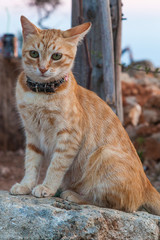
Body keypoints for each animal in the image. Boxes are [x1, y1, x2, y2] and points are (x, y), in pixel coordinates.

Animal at [10, 16, 160, 216]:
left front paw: (47, 187)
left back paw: (72, 195)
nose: (42, 69)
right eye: (34, 54)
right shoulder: (32, 134)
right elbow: (31, 163)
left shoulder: (69, 136)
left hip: (104, 153)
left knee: (115, 204)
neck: (40, 94)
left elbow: (56, 165)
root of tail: (148, 185)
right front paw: (26, 185)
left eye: (56, 56)